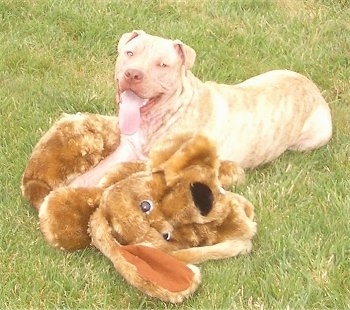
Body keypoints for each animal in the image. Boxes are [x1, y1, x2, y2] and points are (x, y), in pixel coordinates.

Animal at [69, 29, 332, 186]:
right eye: (129, 53)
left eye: (162, 65)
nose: (132, 74)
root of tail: (312, 87)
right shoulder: (126, 149)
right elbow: (92, 174)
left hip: (313, 138)